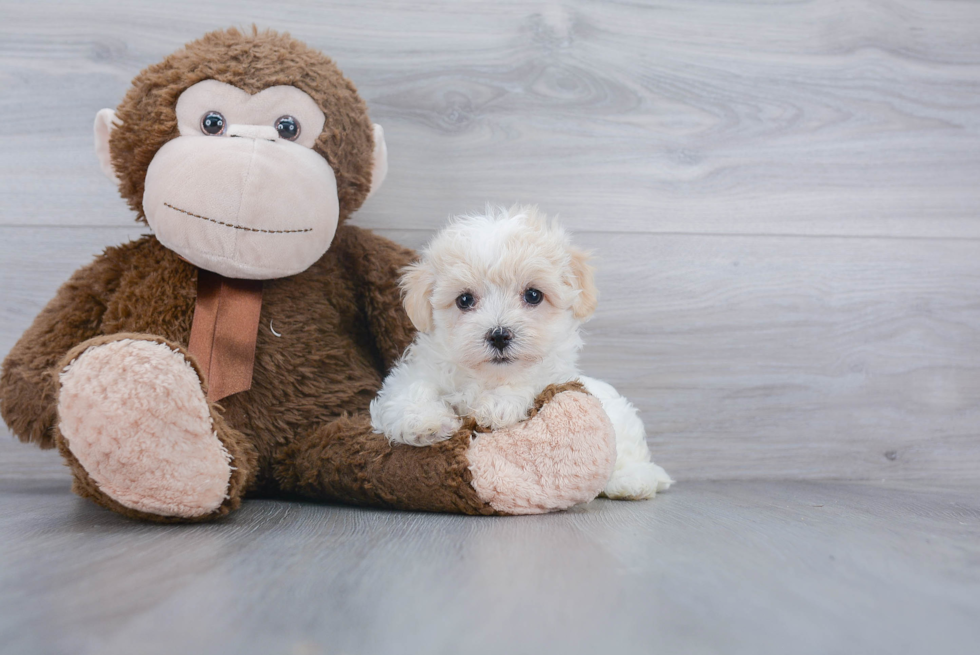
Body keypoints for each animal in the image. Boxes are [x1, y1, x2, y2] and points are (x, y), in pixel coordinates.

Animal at [370, 208, 672, 500]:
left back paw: (631, 483)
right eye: (464, 300)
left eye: (533, 295)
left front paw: (496, 406)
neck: (488, 377)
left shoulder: (552, 375)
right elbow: (410, 387)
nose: (499, 335)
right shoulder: (419, 370)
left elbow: (529, 381)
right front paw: (425, 422)